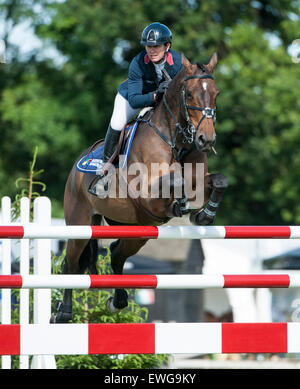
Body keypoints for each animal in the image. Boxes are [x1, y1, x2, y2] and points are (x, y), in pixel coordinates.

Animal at [51, 53, 227, 322]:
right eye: (189, 94)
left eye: (216, 93)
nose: (206, 140)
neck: (176, 140)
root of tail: (76, 168)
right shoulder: (146, 193)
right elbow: (175, 180)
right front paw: (181, 204)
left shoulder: (199, 181)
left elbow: (218, 180)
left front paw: (204, 215)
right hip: (80, 222)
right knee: (71, 263)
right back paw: (63, 312)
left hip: (137, 229)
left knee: (116, 253)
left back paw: (117, 302)